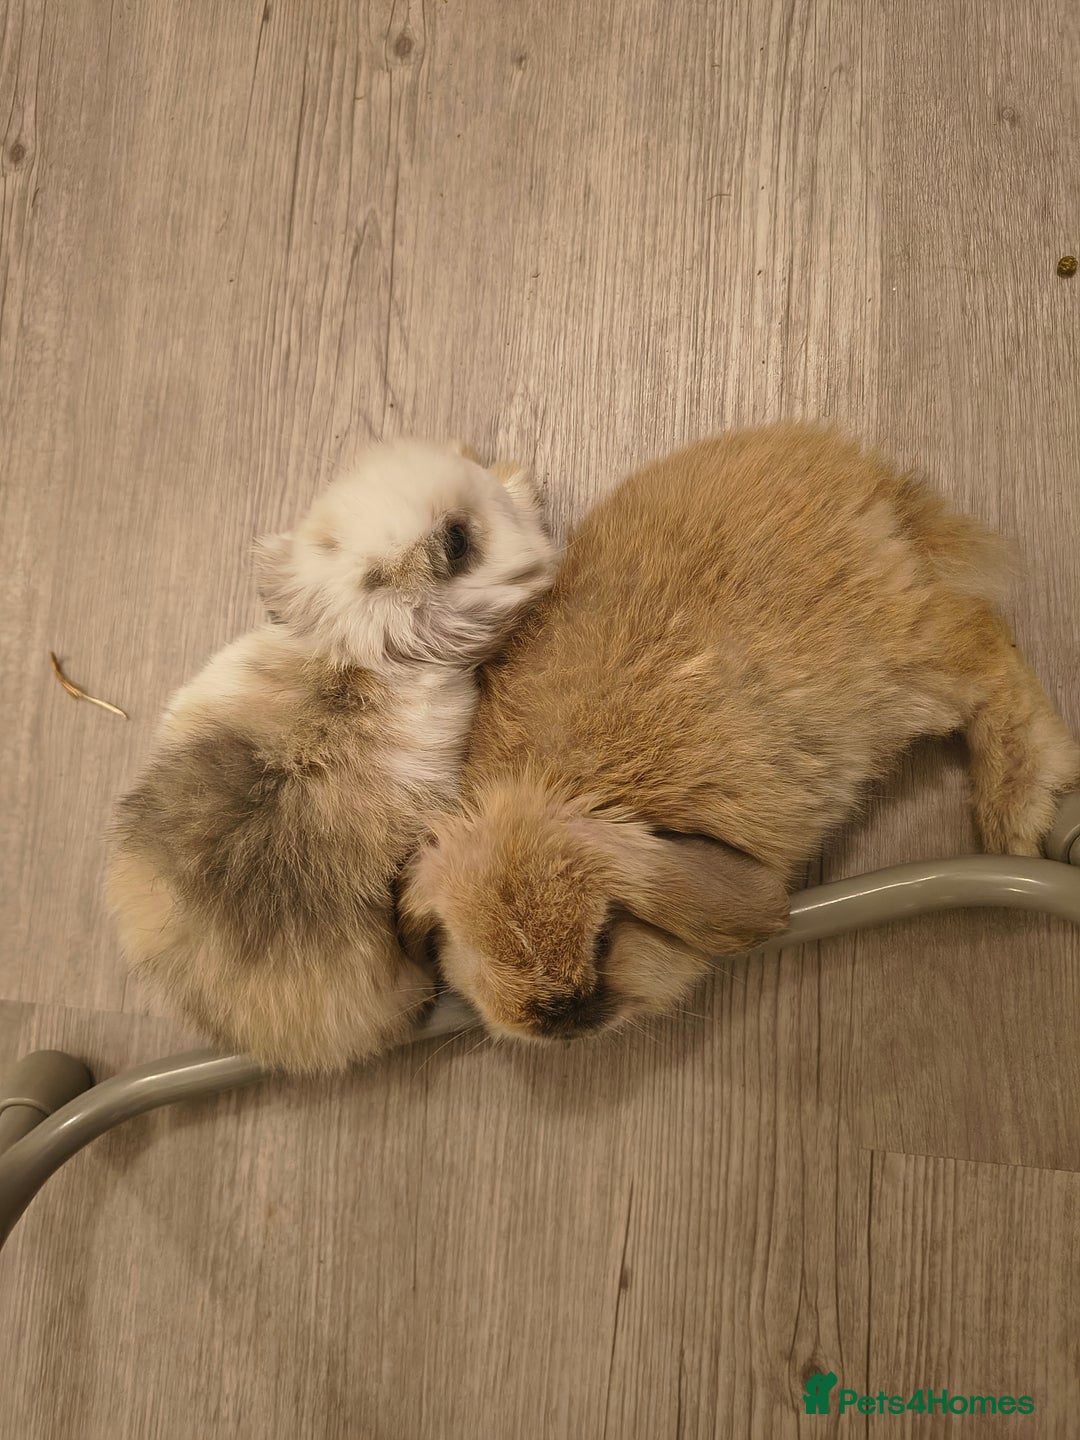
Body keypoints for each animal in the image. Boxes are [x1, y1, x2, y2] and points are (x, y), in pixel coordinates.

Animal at [400, 423, 1080, 1043]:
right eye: (465, 942)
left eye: (605, 934)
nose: (561, 1016)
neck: (558, 784)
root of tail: (868, 481)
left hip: (907, 664)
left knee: (990, 654)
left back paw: (1014, 814)